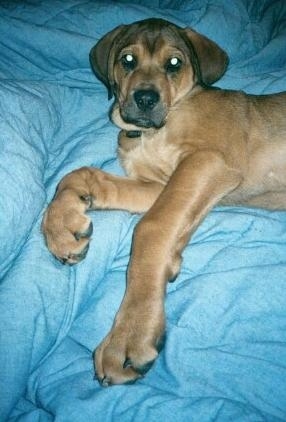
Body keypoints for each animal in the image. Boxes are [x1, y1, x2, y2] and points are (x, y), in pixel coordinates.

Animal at [41, 19, 286, 388]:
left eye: (174, 63)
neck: (151, 132)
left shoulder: (207, 161)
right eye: (128, 60)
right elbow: (84, 175)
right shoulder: (158, 186)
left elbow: (151, 227)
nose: (145, 98)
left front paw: (130, 335)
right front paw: (61, 225)